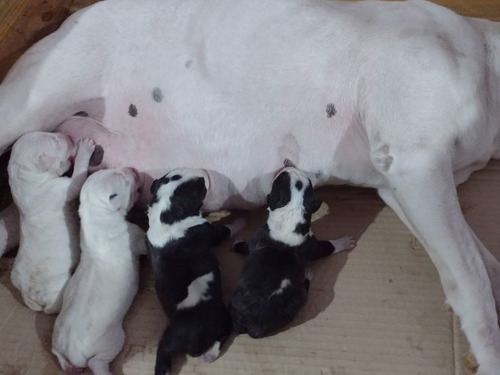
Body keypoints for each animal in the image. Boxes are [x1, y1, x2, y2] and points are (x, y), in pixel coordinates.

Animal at [8, 132, 94, 314]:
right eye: (55, 141)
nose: (66, 134)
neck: (22, 176)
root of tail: (31, 296)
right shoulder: (62, 188)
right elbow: (77, 180)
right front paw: (84, 149)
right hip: (58, 287)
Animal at [51, 168, 146, 375]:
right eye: (124, 179)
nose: (133, 170)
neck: (96, 216)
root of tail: (73, 352)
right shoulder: (134, 236)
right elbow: (144, 241)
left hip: (56, 339)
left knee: (57, 354)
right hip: (112, 340)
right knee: (97, 362)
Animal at [146, 169, 234, 375]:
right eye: (199, 188)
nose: (202, 175)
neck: (167, 213)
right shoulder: (210, 231)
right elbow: (223, 231)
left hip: (169, 341)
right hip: (219, 318)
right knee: (223, 334)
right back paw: (209, 355)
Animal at [230, 166, 356, 340]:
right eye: (282, 178)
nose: (289, 168)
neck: (289, 212)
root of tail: (252, 321)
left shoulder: (258, 237)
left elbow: (245, 246)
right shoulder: (312, 247)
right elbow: (328, 247)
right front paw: (343, 241)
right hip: (296, 299)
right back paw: (307, 276)